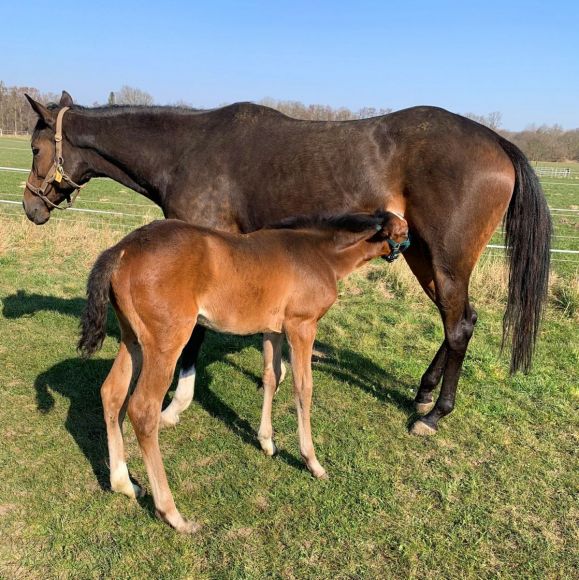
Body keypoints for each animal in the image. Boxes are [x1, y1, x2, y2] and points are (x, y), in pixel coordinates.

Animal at [79, 211, 410, 532]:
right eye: (404, 231)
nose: (406, 252)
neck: (319, 253)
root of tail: (123, 248)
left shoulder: (273, 329)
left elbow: (272, 377)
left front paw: (266, 441)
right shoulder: (302, 326)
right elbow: (303, 387)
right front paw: (312, 461)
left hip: (132, 339)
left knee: (112, 394)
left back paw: (124, 484)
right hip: (166, 342)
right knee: (142, 409)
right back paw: (172, 514)